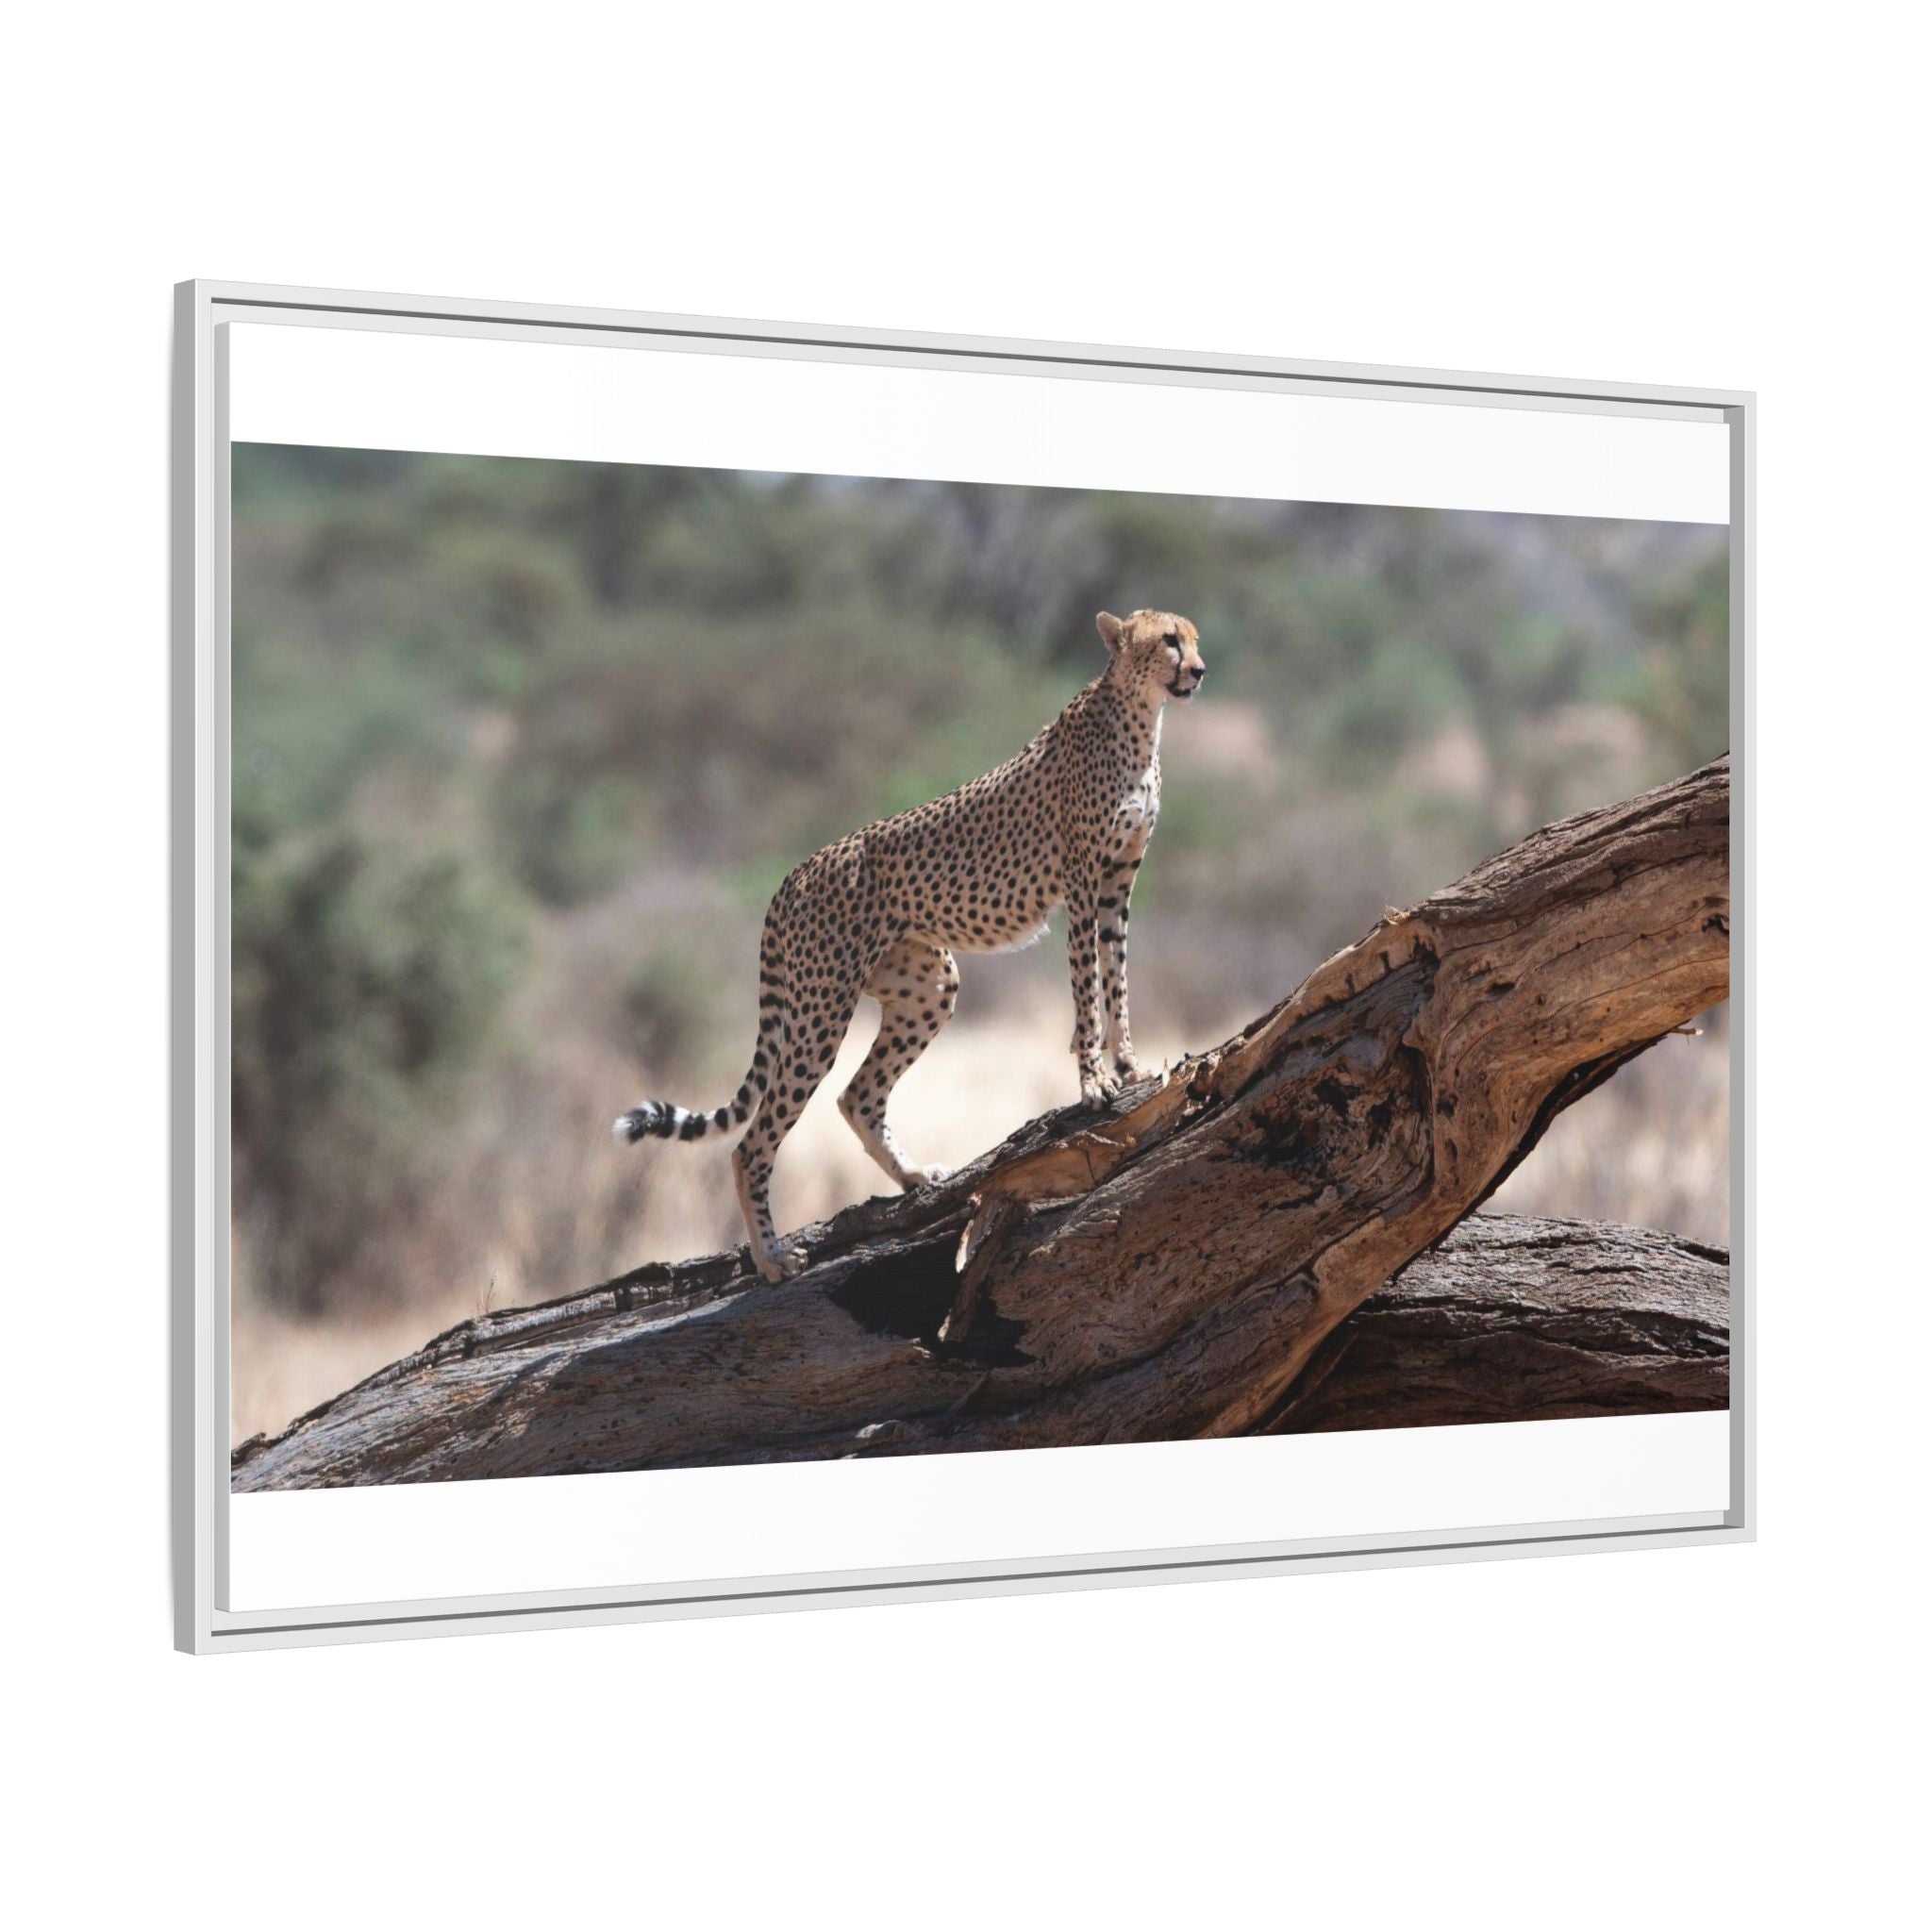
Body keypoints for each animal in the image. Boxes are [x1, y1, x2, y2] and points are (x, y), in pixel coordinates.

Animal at [613, 608, 1207, 1282]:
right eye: (1169, 640)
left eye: (1193, 638)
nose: (1198, 670)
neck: (1140, 715)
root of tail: (795, 872)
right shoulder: (1082, 884)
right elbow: (1087, 989)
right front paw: (1094, 1082)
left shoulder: (1117, 885)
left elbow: (1117, 978)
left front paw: (1130, 1065)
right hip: (821, 1009)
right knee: (754, 1141)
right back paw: (771, 1257)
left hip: (928, 986)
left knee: (857, 1096)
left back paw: (915, 1177)